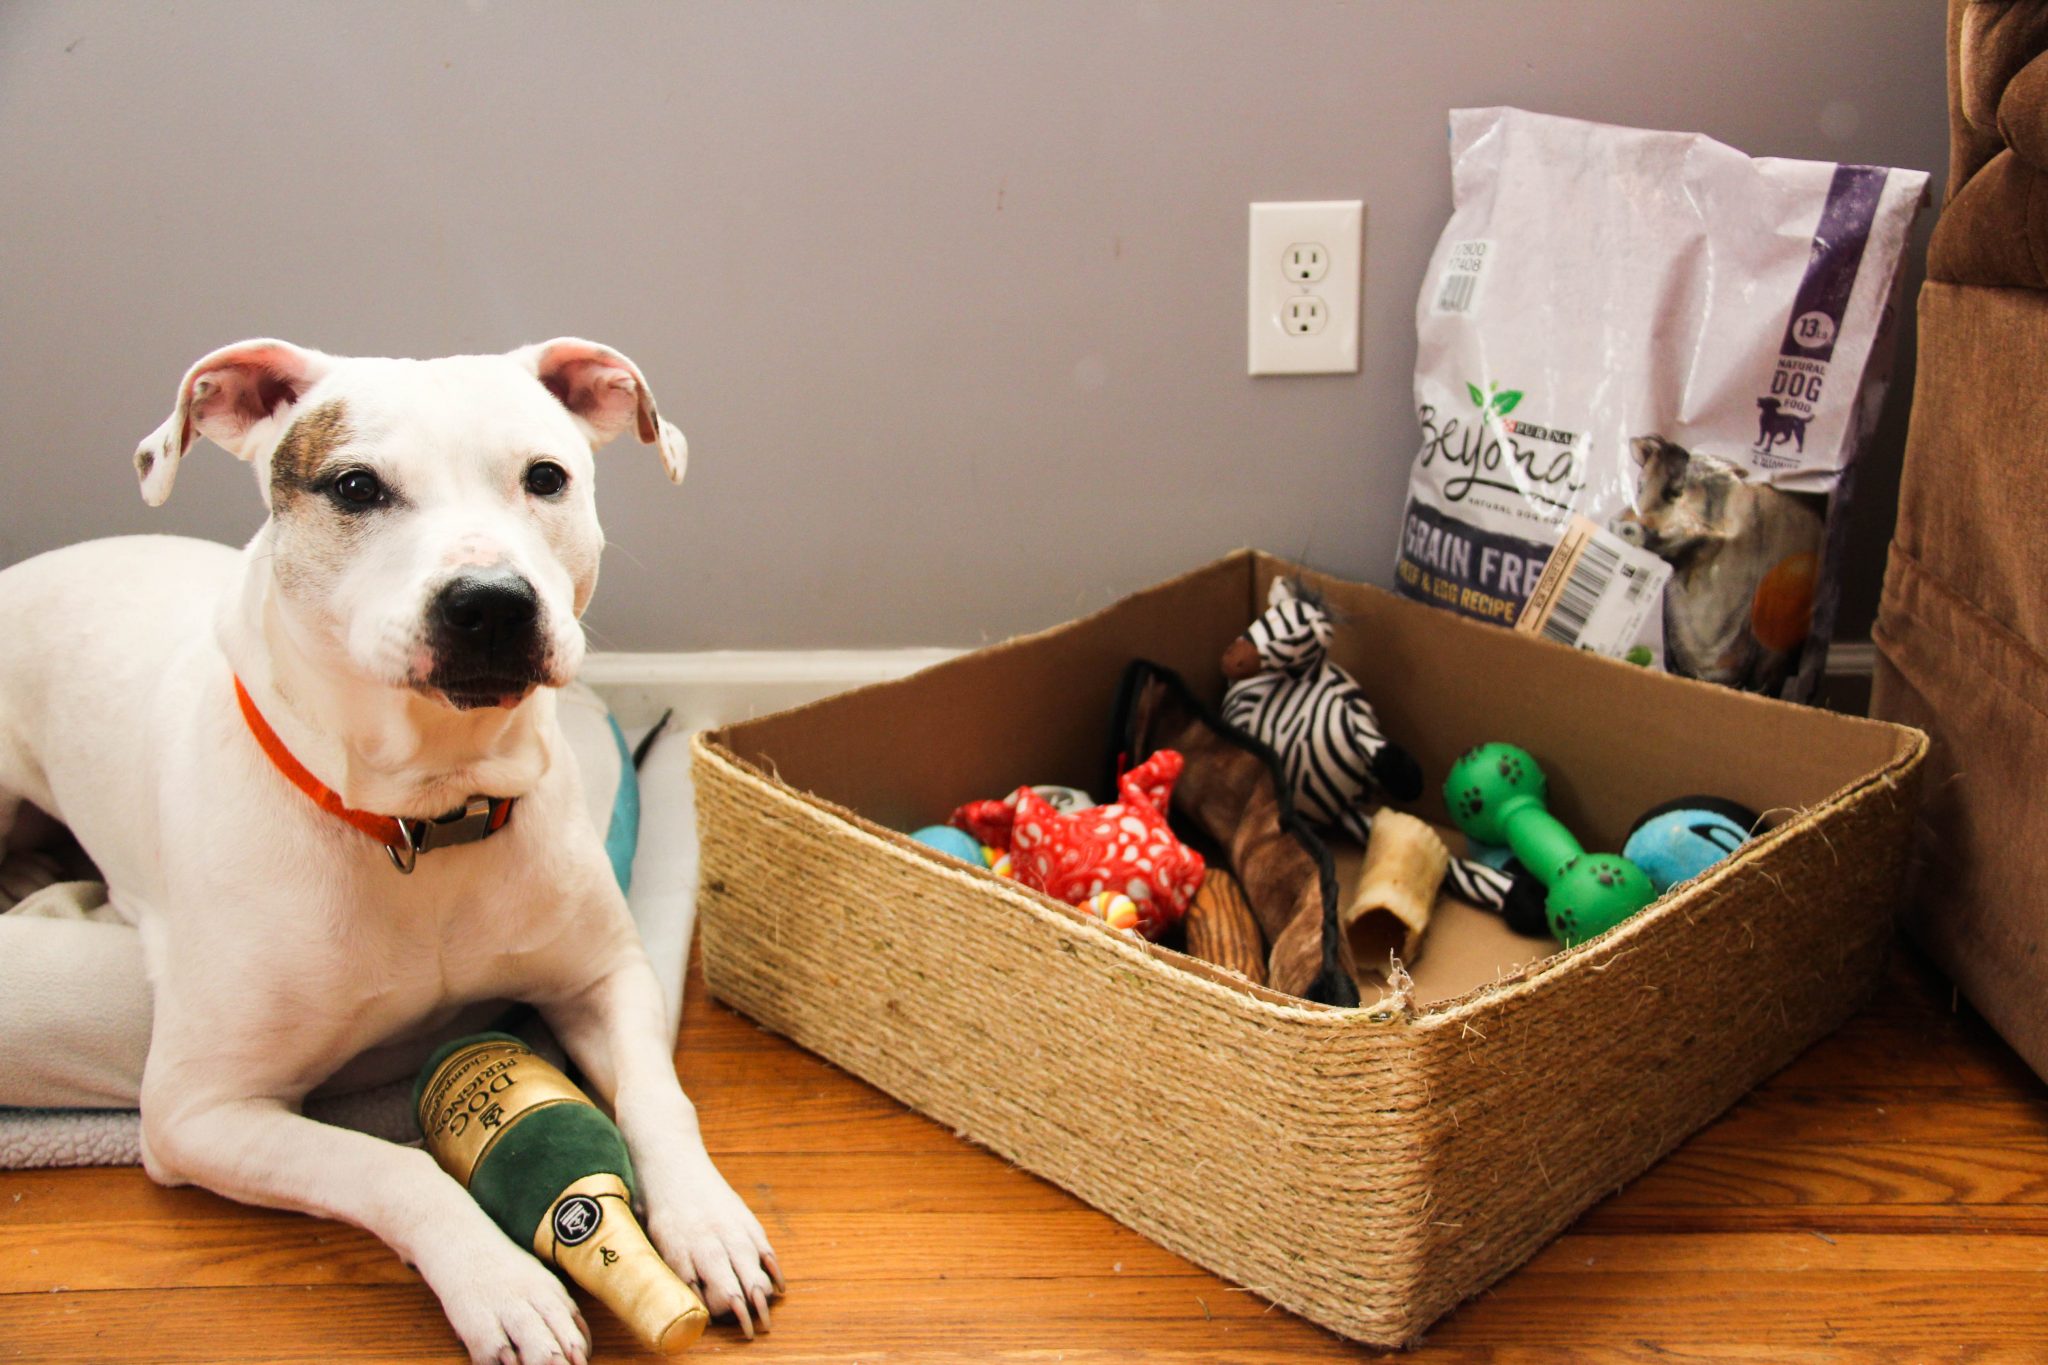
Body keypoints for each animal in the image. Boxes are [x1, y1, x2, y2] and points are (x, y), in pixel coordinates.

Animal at [0, 341, 774, 1365]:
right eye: (355, 486)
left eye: (547, 477)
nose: (491, 603)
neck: (427, 813)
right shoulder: (198, 1110)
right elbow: (391, 1169)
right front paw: (501, 1283)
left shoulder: (605, 977)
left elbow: (658, 1096)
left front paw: (706, 1220)